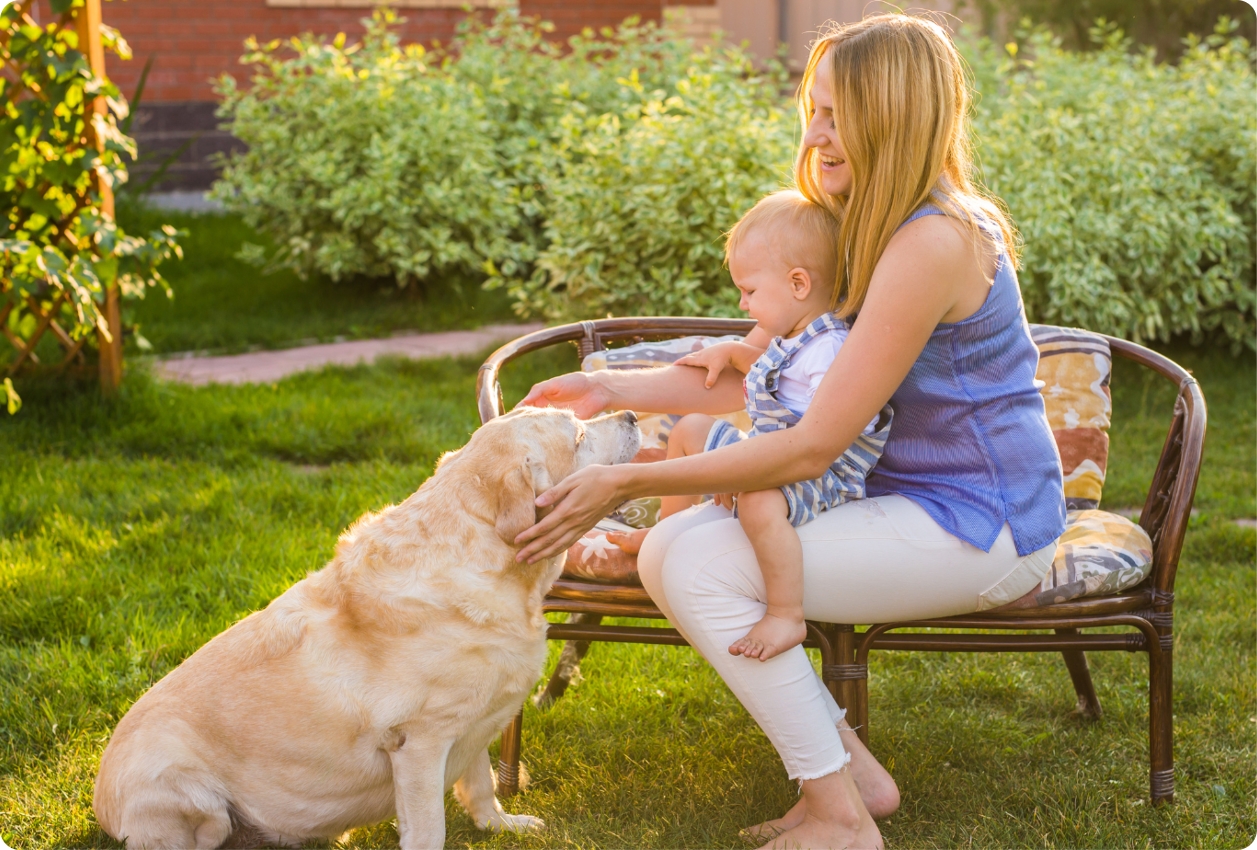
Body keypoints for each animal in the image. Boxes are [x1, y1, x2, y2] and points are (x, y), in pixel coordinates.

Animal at [93, 407, 638, 844]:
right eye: (578, 435)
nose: (632, 414)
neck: (495, 568)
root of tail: (102, 802)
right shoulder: (418, 743)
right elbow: (429, 829)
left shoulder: (474, 722)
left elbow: (481, 784)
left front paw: (500, 825)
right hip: (192, 799)